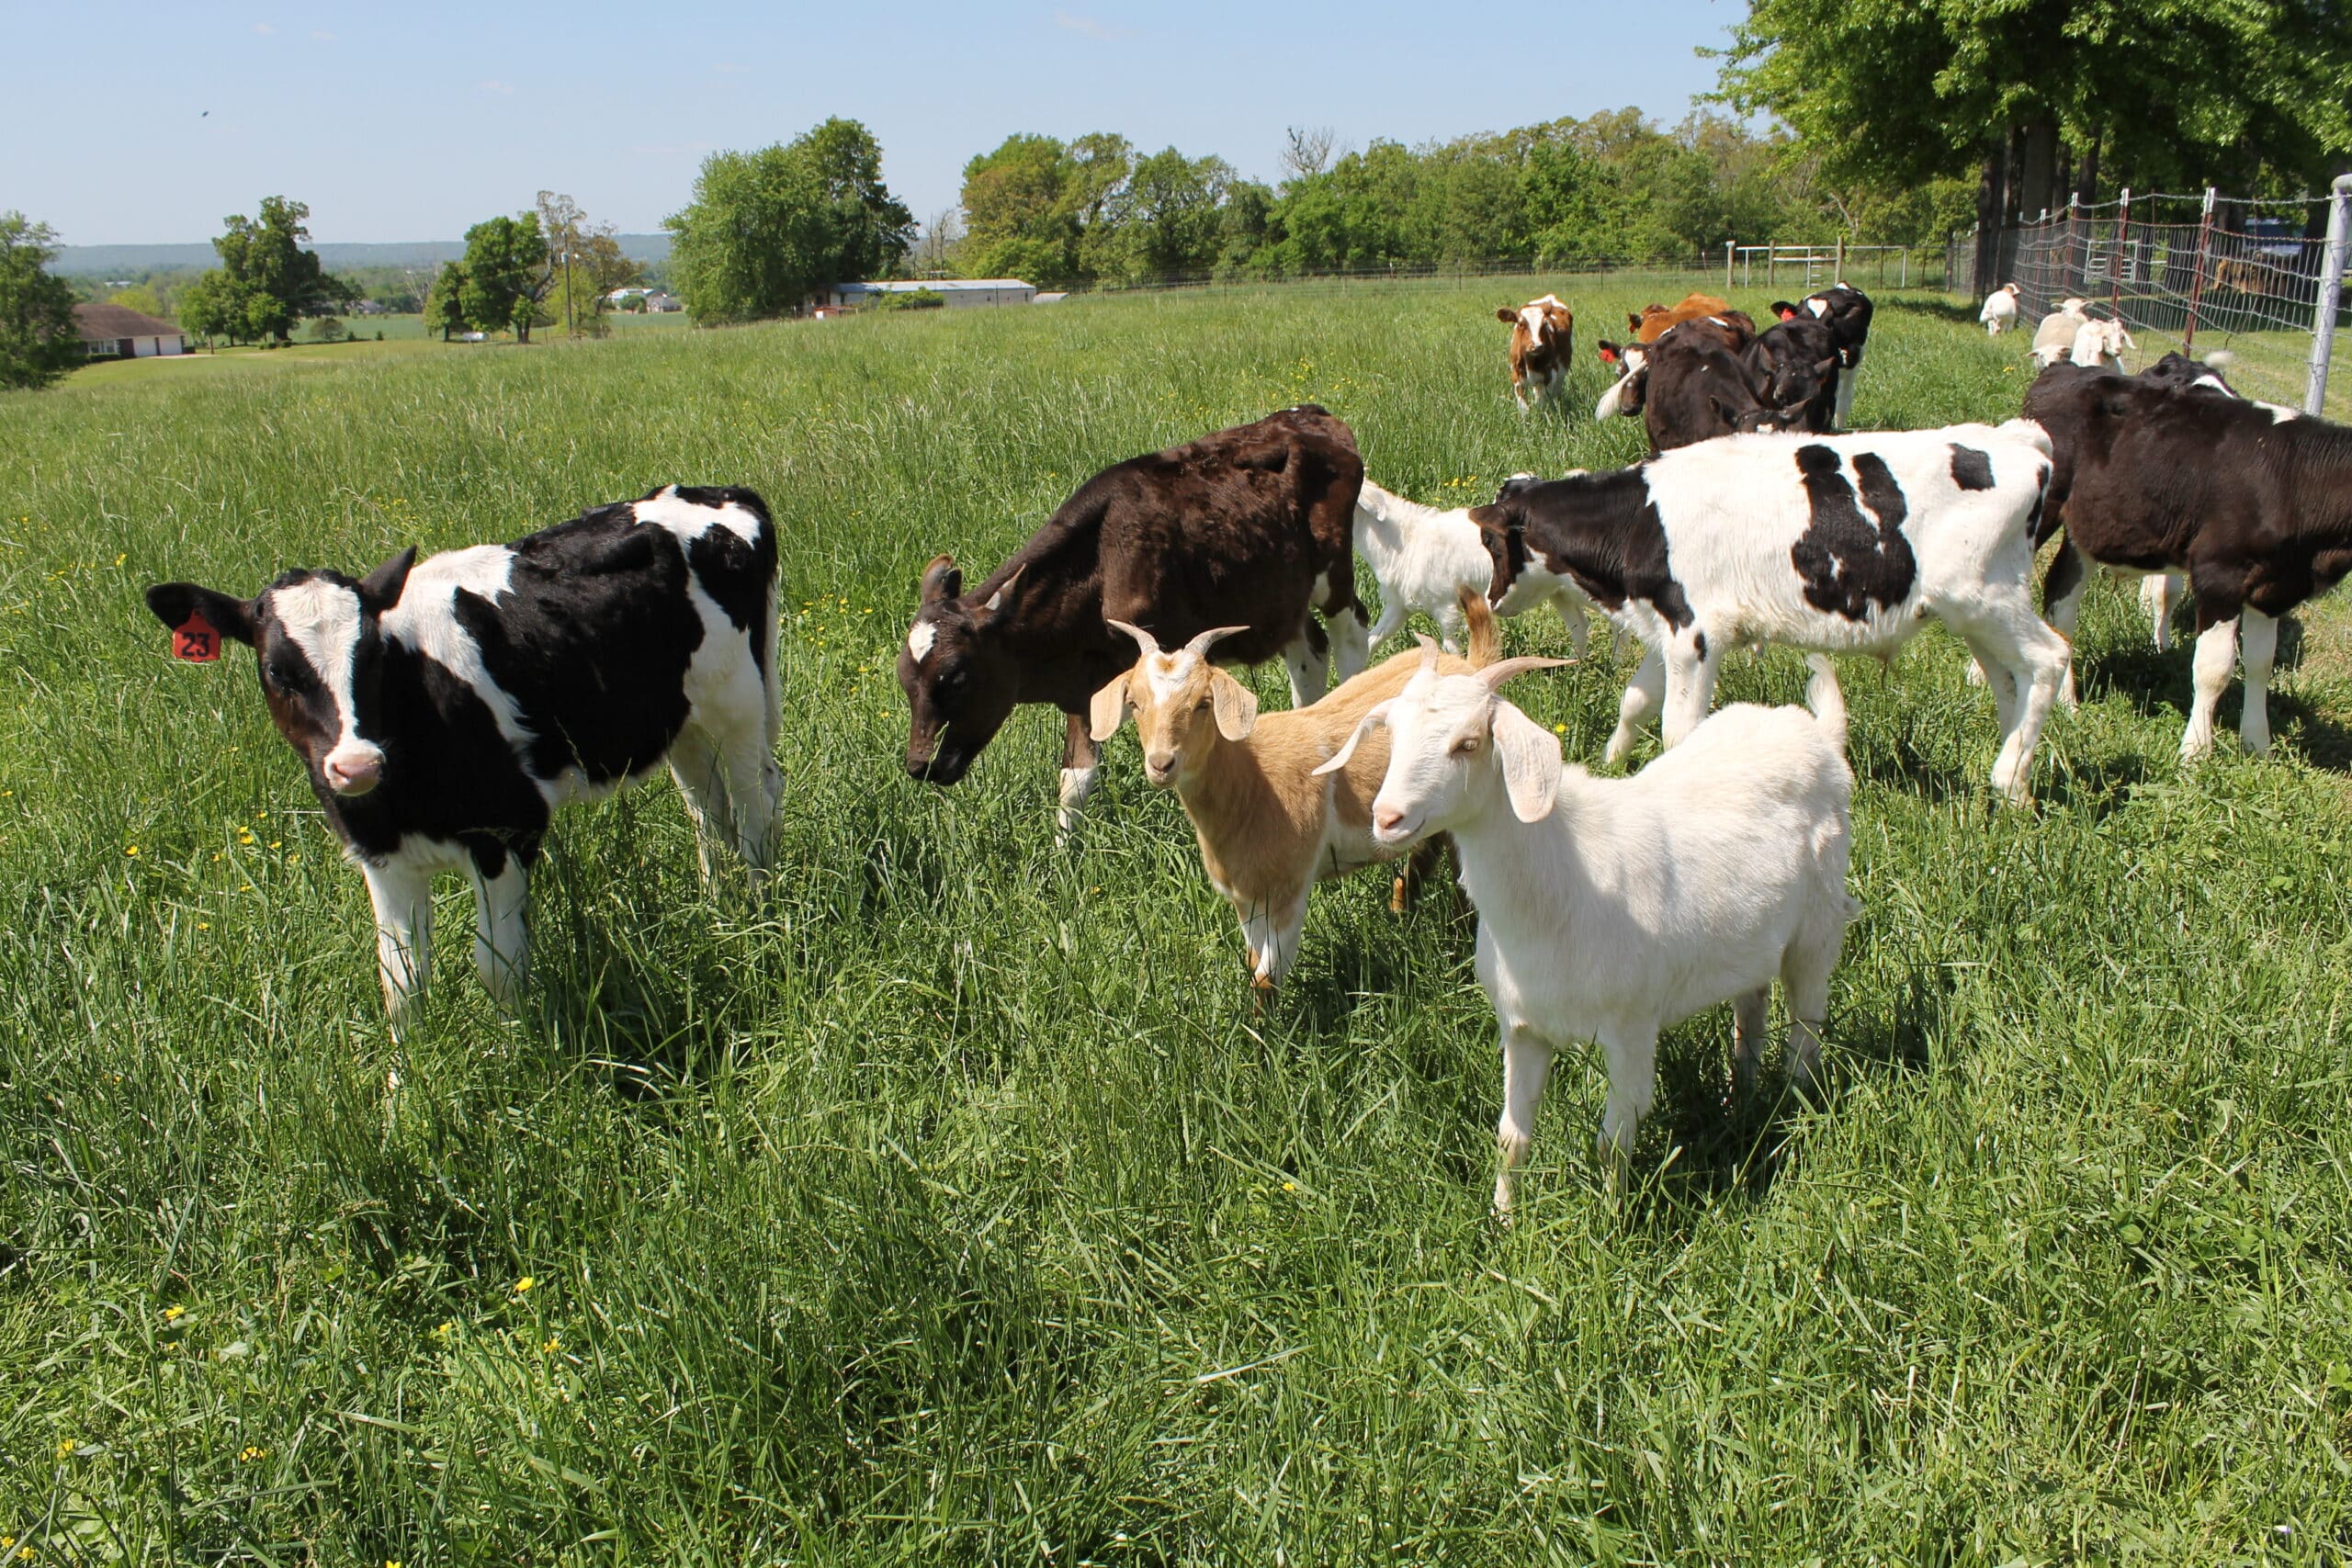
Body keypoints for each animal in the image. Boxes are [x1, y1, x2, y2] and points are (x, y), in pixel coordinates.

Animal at [143, 486, 782, 1029]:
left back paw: (760, 916)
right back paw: (718, 912)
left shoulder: (507, 828)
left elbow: (497, 967)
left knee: (756, 807)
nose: (356, 766)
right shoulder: (381, 855)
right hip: (683, 725)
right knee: (709, 817)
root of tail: (716, 493)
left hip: (741, 705)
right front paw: (404, 1092)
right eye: (276, 670)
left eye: (371, 655)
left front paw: (523, 1065)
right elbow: (401, 985)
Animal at [898, 406, 1369, 833]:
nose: (919, 765)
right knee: (1309, 650)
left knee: (1351, 635)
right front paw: (1065, 858)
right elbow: (1075, 780)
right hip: (1282, 596)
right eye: (905, 681)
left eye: (957, 677)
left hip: (1334, 574)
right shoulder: (1085, 681)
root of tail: (1311, 415)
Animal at [1316, 649, 1857, 1211]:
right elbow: (1511, 1137)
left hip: (1816, 932)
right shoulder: (1523, 1028)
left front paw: (1612, 1219)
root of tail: (1817, 734)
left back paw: (1791, 1109)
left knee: (1805, 1032)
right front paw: (1503, 1217)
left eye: (1468, 743)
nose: (1387, 817)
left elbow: (1612, 1141)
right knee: (1750, 1011)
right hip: (1752, 942)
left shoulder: (1632, 1030)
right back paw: (1740, 1099)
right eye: (1393, 734)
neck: (1559, 883)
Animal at [1496, 294, 1575, 413]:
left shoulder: (1547, 378)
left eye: (1544, 324)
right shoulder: (1516, 377)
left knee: (1554, 393)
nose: (1537, 346)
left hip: (1560, 375)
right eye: (1520, 324)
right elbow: (1524, 408)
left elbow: (1540, 404)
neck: (1530, 361)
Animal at [2021, 364, 2347, 761]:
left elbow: (2259, 664)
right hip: (2043, 508)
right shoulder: (2219, 574)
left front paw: (2258, 745)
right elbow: (2214, 668)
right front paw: (2195, 751)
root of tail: (2064, 369)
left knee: (2061, 598)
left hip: (2086, 526)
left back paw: (2067, 702)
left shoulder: (2274, 589)